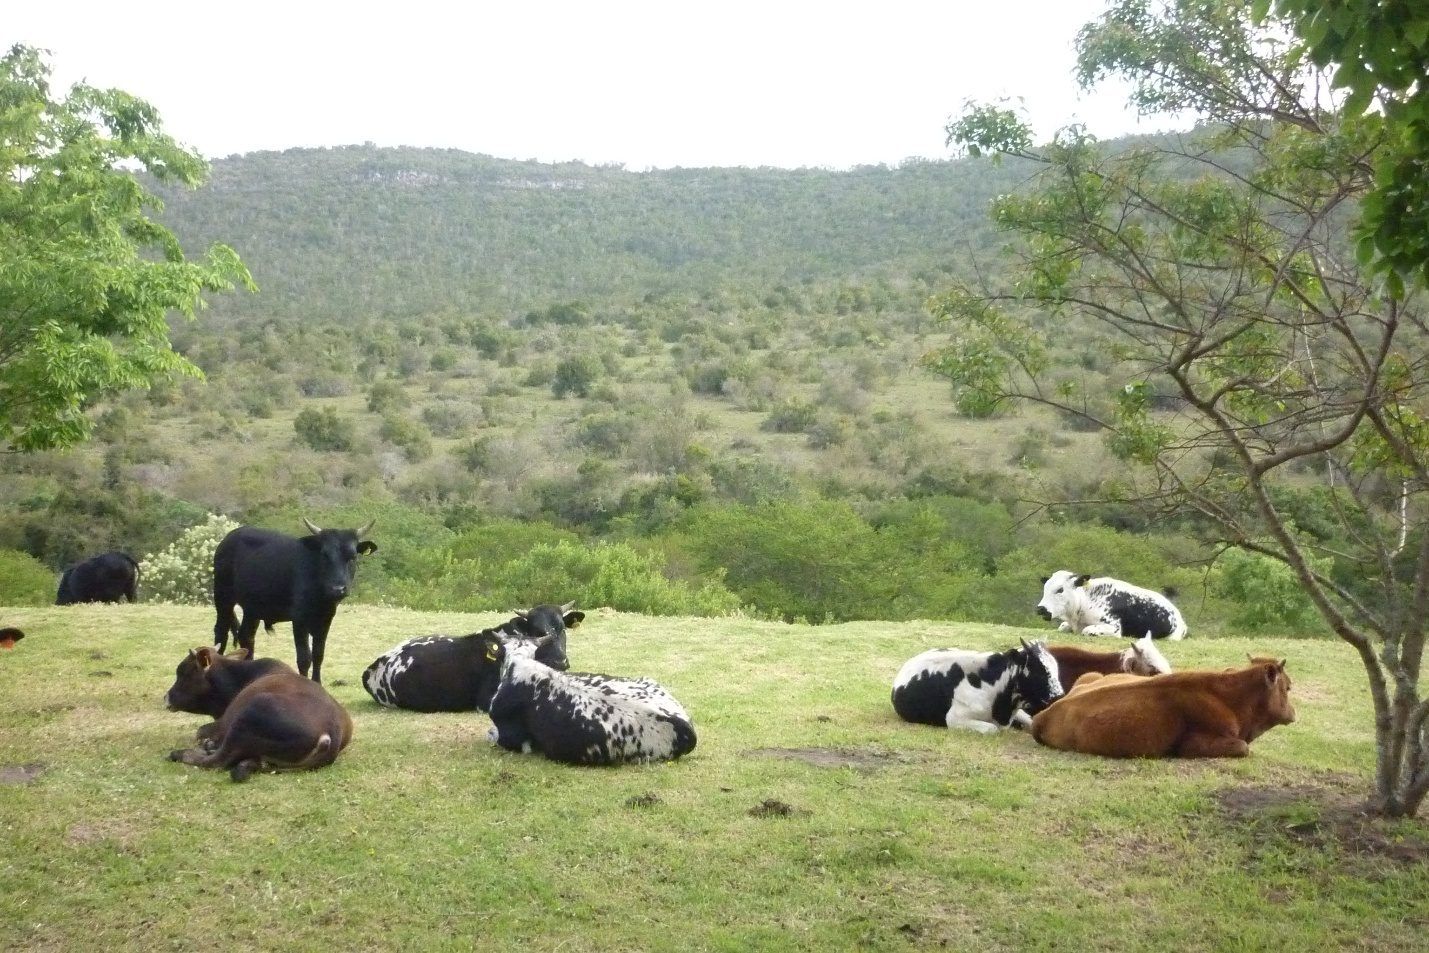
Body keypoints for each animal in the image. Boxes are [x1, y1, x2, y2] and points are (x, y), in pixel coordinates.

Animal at [164, 645, 353, 782]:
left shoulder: (222, 723)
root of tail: (330, 734)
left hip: (246, 718)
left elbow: (200, 731)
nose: (166, 697)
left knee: (217, 761)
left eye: (184, 672)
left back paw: (180, 753)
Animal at [212, 518, 377, 684]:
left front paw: (317, 682)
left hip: (252, 608)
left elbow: (318, 654)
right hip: (223, 598)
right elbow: (304, 658)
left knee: (246, 637)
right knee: (221, 633)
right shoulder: (299, 619)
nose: (338, 589)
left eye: (353, 556)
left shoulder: (326, 618)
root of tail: (230, 536)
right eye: (324, 555)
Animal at [1036, 570, 1188, 640]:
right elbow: (1062, 627)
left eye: (1060, 589)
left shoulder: (1114, 628)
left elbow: (1088, 630)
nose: (1041, 609)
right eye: (1045, 587)